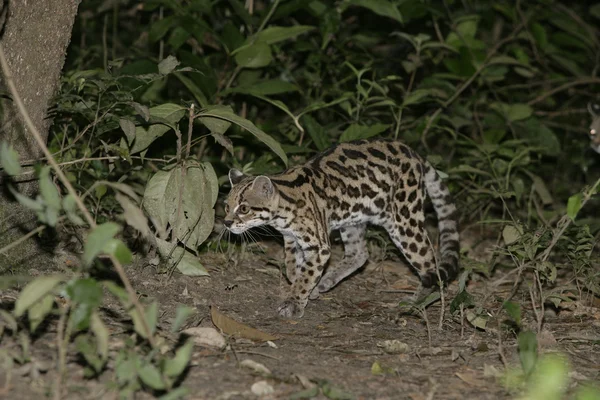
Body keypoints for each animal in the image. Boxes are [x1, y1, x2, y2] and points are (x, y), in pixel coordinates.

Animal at [225, 138, 460, 318]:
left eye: (244, 208)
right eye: (226, 205)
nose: (226, 222)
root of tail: (414, 153)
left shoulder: (318, 246)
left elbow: (305, 274)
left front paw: (295, 301)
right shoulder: (291, 238)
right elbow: (293, 267)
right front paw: (304, 285)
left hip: (403, 219)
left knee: (429, 263)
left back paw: (417, 301)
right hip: (352, 220)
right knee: (360, 254)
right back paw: (327, 280)